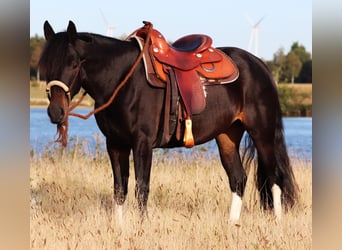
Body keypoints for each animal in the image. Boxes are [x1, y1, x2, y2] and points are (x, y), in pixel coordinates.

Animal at [39, 20, 296, 223]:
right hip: (227, 136)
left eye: (74, 63)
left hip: (262, 133)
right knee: (238, 179)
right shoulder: (115, 144)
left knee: (274, 177)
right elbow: (120, 189)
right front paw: (119, 228)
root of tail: (259, 64)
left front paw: (141, 227)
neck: (123, 81)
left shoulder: (142, 144)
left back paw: (277, 223)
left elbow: (141, 187)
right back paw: (232, 224)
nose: (55, 112)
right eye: (46, 64)